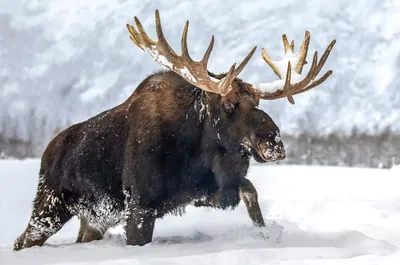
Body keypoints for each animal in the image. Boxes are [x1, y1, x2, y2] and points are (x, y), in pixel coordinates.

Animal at [14, 9, 336, 250]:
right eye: (229, 103)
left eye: (257, 101)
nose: (275, 143)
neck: (197, 150)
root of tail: (46, 152)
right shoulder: (139, 205)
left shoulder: (204, 191)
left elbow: (249, 190)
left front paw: (264, 234)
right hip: (49, 206)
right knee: (23, 240)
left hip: (93, 219)